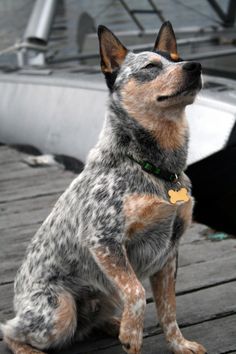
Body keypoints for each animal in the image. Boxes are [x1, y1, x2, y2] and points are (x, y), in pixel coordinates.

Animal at [0, 22, 206, 354]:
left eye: (178, 58)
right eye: (150, 67)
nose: (196, 66)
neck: (156, 170)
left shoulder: (170, 250)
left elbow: (168, 309)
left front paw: (179, 344)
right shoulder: (103, 239)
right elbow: (136, 292)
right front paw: (132, 334)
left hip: (105, 294)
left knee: (89, 325)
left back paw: (113, 324)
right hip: (59, 311)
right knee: (11, 330)